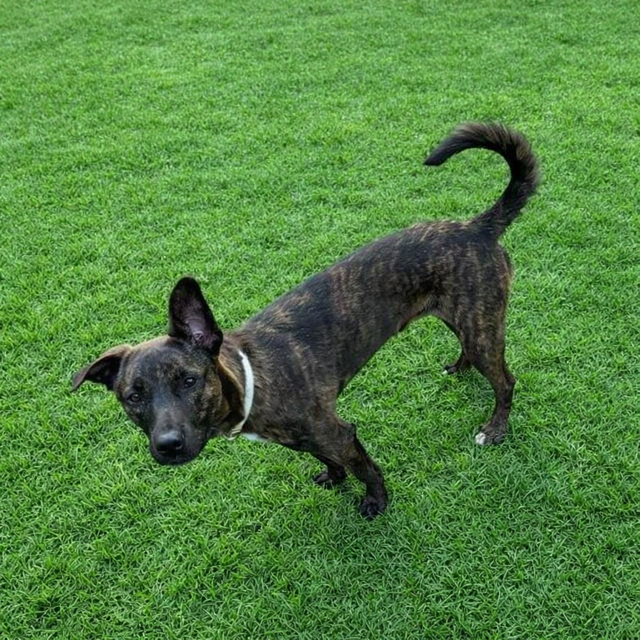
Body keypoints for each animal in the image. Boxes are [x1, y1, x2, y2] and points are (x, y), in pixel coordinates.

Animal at [73, 122, 539, 518]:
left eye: (189, 380)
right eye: (133, 397)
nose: (168, 446)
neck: (252, 377)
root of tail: (477, 227)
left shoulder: (338, 431)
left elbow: (366, 468)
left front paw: (376, 502)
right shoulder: (307, 437)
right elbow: (327, 459)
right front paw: (334, 477)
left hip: (481, 327)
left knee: (506, 382)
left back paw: (495, 429)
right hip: (466, 319)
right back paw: (459, 368)